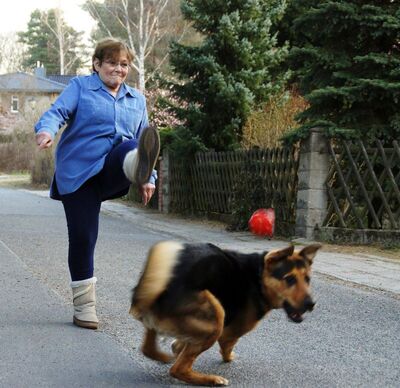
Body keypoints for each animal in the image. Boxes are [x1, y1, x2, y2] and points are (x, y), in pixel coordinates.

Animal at [130, 241, 322, 386]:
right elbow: (227, 347)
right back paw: (211, 379)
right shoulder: (230, 334)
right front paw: (229, 358)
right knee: (178, 369)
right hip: (217, 316)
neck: (259, 277)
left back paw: (161, 356)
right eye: (289, 279)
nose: (311, 304)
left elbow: (178, 346)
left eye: (307, 279)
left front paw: (176, 348)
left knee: (148, 349)